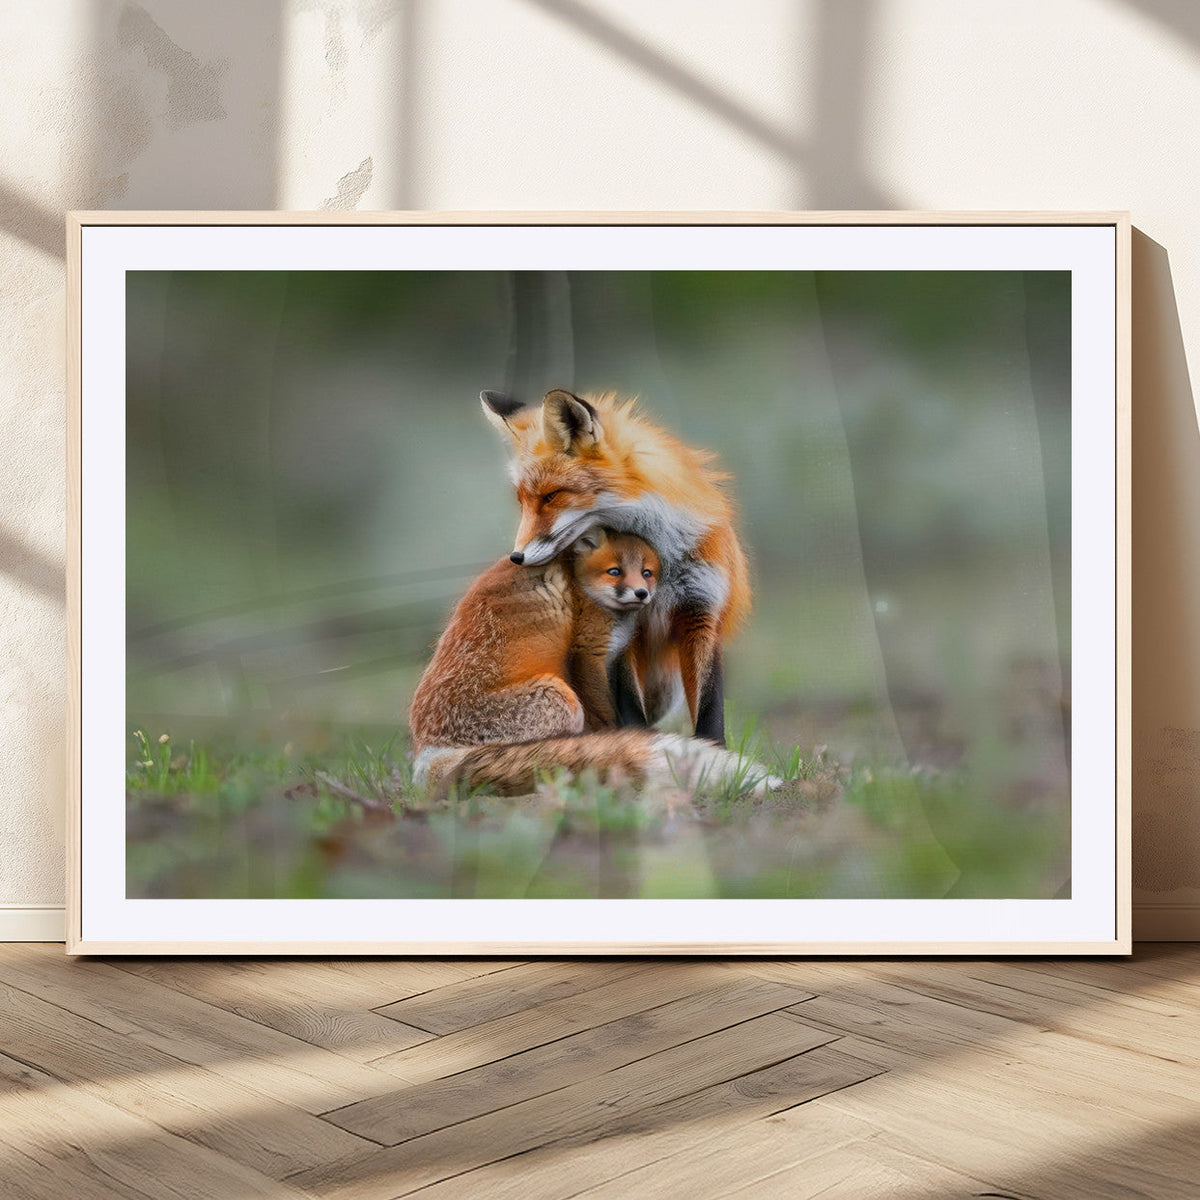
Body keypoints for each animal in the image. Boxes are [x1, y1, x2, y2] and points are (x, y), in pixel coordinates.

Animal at [481, 386, 751, 747]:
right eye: (522, 501)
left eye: (551, 496)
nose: (516, 557)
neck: (661, 561)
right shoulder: (622, 628)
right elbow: (630, 708)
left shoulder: (701, 614)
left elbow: (709, 710)